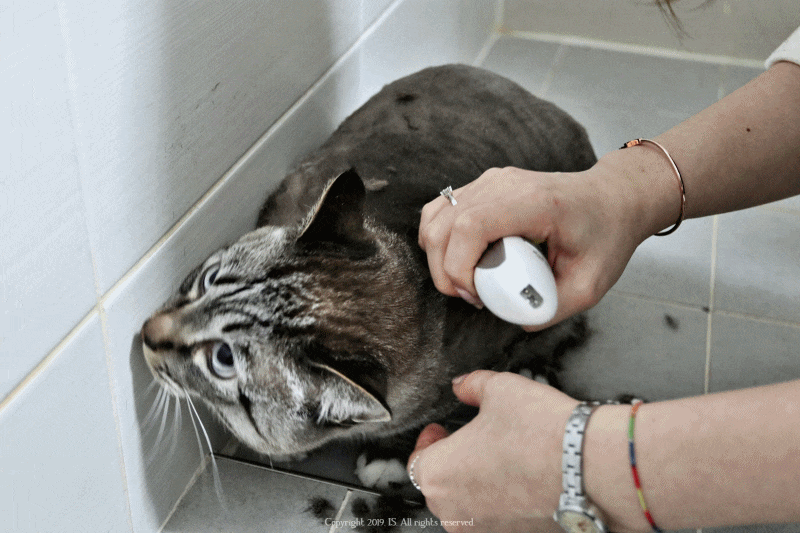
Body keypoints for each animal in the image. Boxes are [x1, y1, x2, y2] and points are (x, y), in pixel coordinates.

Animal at [140, 64, 597, 485]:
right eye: (209, 278)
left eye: (222, 359)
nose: (146, 332)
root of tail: (528, 92)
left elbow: (414, 420)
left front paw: (389, 453)